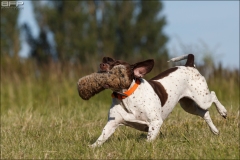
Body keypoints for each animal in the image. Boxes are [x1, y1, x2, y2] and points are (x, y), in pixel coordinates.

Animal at [89, 54, 227, 148]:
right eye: (106, 61)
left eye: (118, 64)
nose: (101, 65)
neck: (126, 96)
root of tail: (189, 65)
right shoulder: (112, 124)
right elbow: (101, 138)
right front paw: (92, 147)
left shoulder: (155, 122)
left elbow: (149, 139)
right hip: (188, 106)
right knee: (205, 113)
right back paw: (215, 131)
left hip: (202, 98)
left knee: (213, 95)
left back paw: (223, 111)